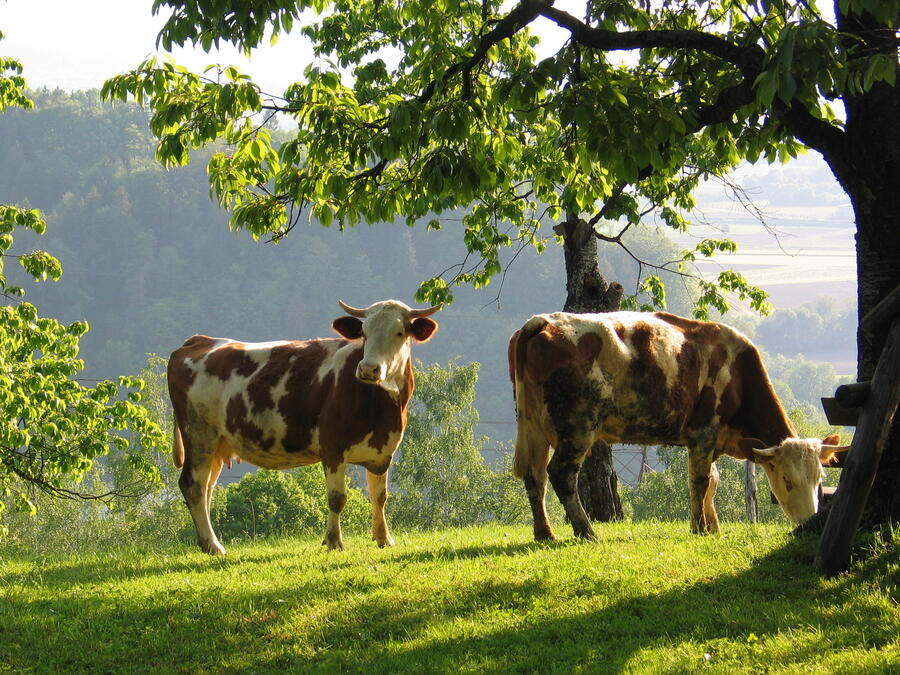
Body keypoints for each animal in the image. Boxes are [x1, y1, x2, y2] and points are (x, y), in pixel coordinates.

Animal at [169, 302, 440, 556]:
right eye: (364, 332)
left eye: (399, 332)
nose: (368, 369)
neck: (379, 406)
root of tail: (199, 340)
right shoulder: (332, 447)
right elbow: (337, 497)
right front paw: (334, 541)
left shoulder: (383, 452)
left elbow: (380, 497)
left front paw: (384, 538)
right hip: (198, 434)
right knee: (193, 485)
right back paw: (213, 545)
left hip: (217, 443)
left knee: (207, 488)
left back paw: (206, 542)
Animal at [510, 314, 848, 540]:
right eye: (786, 479)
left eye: (820, 479)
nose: (810, 522)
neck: (738, 374)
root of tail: (544, 321)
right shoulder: (704, 432)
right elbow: (699, 481)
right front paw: (699, 528)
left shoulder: (712, 441)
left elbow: (712, 482)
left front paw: (712, 526)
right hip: (577, 425)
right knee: (561, 473)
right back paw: (586, 531)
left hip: (534, 426)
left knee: (535, 476)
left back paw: (544, 533)